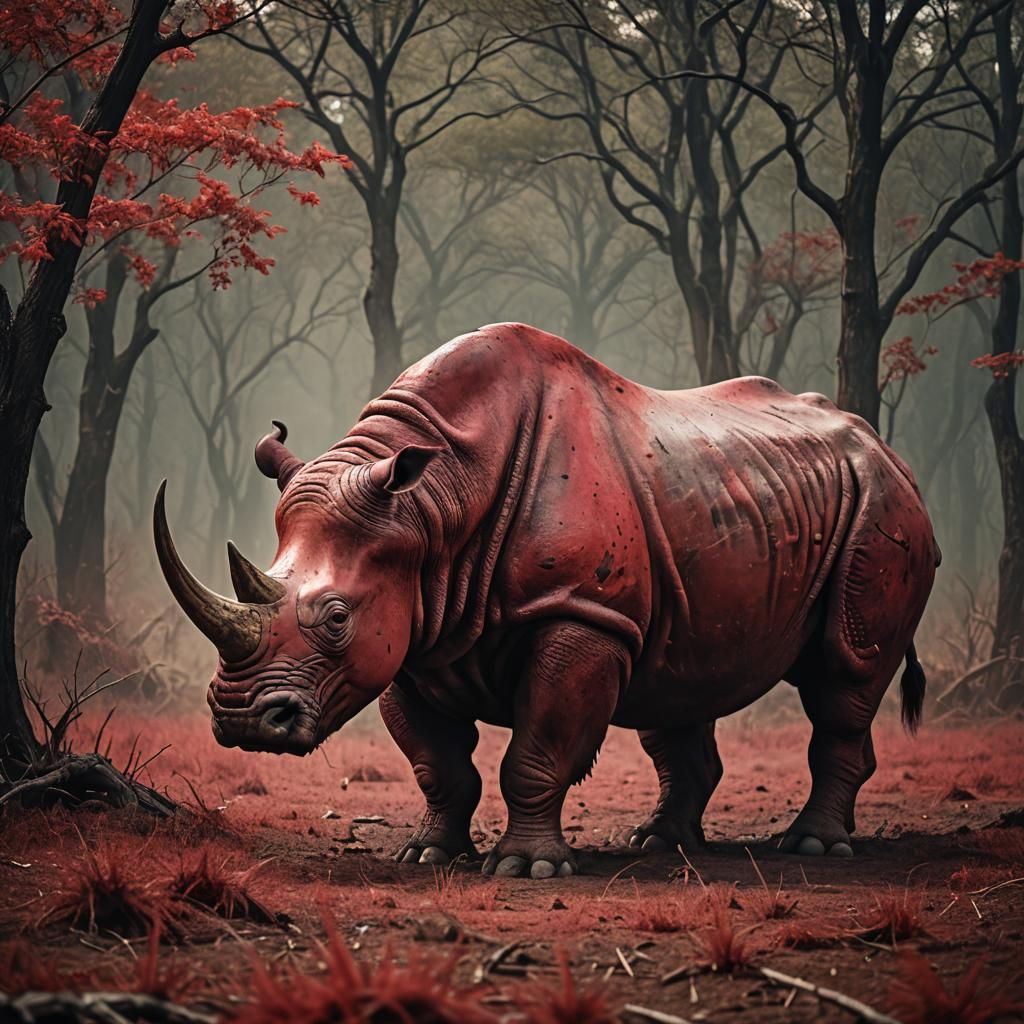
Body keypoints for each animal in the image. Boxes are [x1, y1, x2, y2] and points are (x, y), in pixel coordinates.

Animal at [155, 324, 939, 878]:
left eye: (337, 617)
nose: (241, 721)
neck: (433, 506)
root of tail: (888, 450)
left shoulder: (579, 611)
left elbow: (537, 746)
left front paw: (525, 868)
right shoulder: (411, 628)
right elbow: (436, 762)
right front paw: (428, 855)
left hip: (881, 507)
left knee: (845, 673)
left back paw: (811, 848)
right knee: (678, 678)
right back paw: (659, 844)